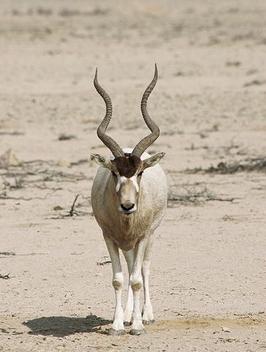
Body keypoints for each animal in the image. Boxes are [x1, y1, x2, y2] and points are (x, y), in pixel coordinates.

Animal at [90, 65, 167, 336]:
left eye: (139, 172)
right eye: (114, 172)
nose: (127, 206)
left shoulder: (143, 236)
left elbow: (135, 279)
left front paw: (137, 326)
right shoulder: (109, 237)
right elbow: (118, 279)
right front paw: (116, 325)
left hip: (150, 235)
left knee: (143, 268)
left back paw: (147, 315)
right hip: (127, 243)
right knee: (131, 263)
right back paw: (127, 314)